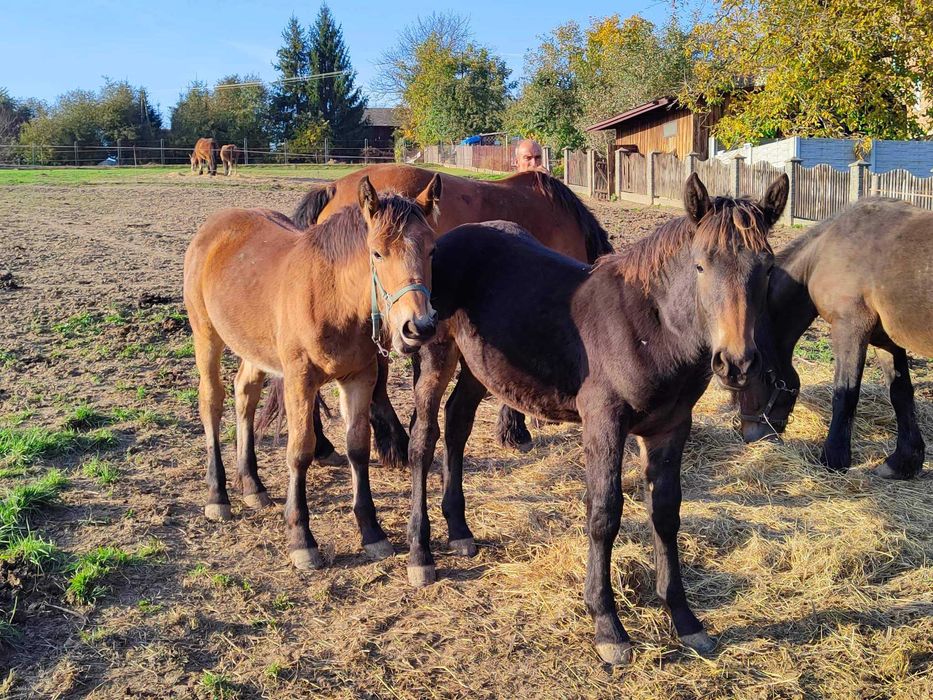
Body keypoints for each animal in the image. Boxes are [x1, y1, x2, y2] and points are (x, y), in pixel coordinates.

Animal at [186, 174, 444, 568]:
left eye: (431, 250)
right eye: (377, 252)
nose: (418, 327)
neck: (333, 295)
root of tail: (213, 228)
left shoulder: (359, 378)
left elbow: (357, 446)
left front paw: (372, 532)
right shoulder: (300, 381)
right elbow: (300, 451)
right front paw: (301, 538)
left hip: (253, 347)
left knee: (245, 394)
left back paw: (251, 484)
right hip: (206, 335)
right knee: (212, 402)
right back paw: (218, 495)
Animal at [408, 172, 788, 664]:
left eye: (767, 268)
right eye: (701, 266)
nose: (736, 364)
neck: (650, 327)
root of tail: (447, 241)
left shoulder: (670, 428)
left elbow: (666, 513)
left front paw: (685, 619)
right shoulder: (604, 423)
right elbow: (604, 514)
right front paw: (608, 626)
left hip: (480, 367)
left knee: (457, 425)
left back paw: (459, 530)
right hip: (436, 356)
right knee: (424, 439)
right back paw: (420, 555)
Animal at [736, 200, 932, 478]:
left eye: (748, 378)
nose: (751, 435)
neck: (822, 254)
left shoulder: (849, 327)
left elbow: (845, 393)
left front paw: (833, 458)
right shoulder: (886, 341)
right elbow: (900, 393)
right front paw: (903, 462)